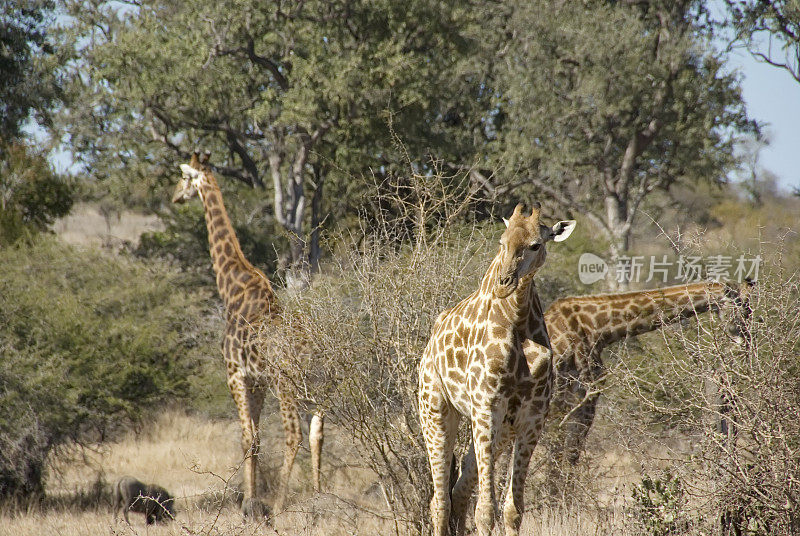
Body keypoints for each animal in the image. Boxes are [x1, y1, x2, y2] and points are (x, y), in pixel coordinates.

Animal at [172, 151, 324, 516]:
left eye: (183, 177)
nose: (174, 197)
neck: (232, 286)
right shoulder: (257, 381)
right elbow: (254, 439)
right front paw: (250, 500)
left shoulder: (235, 374)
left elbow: (247, 438)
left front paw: (248, 502)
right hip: (317, 385)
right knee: (317, 432)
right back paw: (319, 495)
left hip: (287, 385)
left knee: (294, 434)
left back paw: (281, 504)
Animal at [418, 202, 576, 536]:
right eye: (501, 242)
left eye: (535, 245)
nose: (505, 283)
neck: (516, 320)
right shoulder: (486, 406)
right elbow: (486, 511)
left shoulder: (532, 416)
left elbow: (513, 510)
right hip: (435, 411)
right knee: (439, 501)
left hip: (502, 427)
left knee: (458, 489)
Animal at [450, 278, 756, 528]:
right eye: (744, 310)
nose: (746, 346)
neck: (598, 328)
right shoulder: (583, 403)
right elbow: (566, 463)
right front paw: (561, 512)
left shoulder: (561, 410)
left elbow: (557, 465)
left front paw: (554, 510)